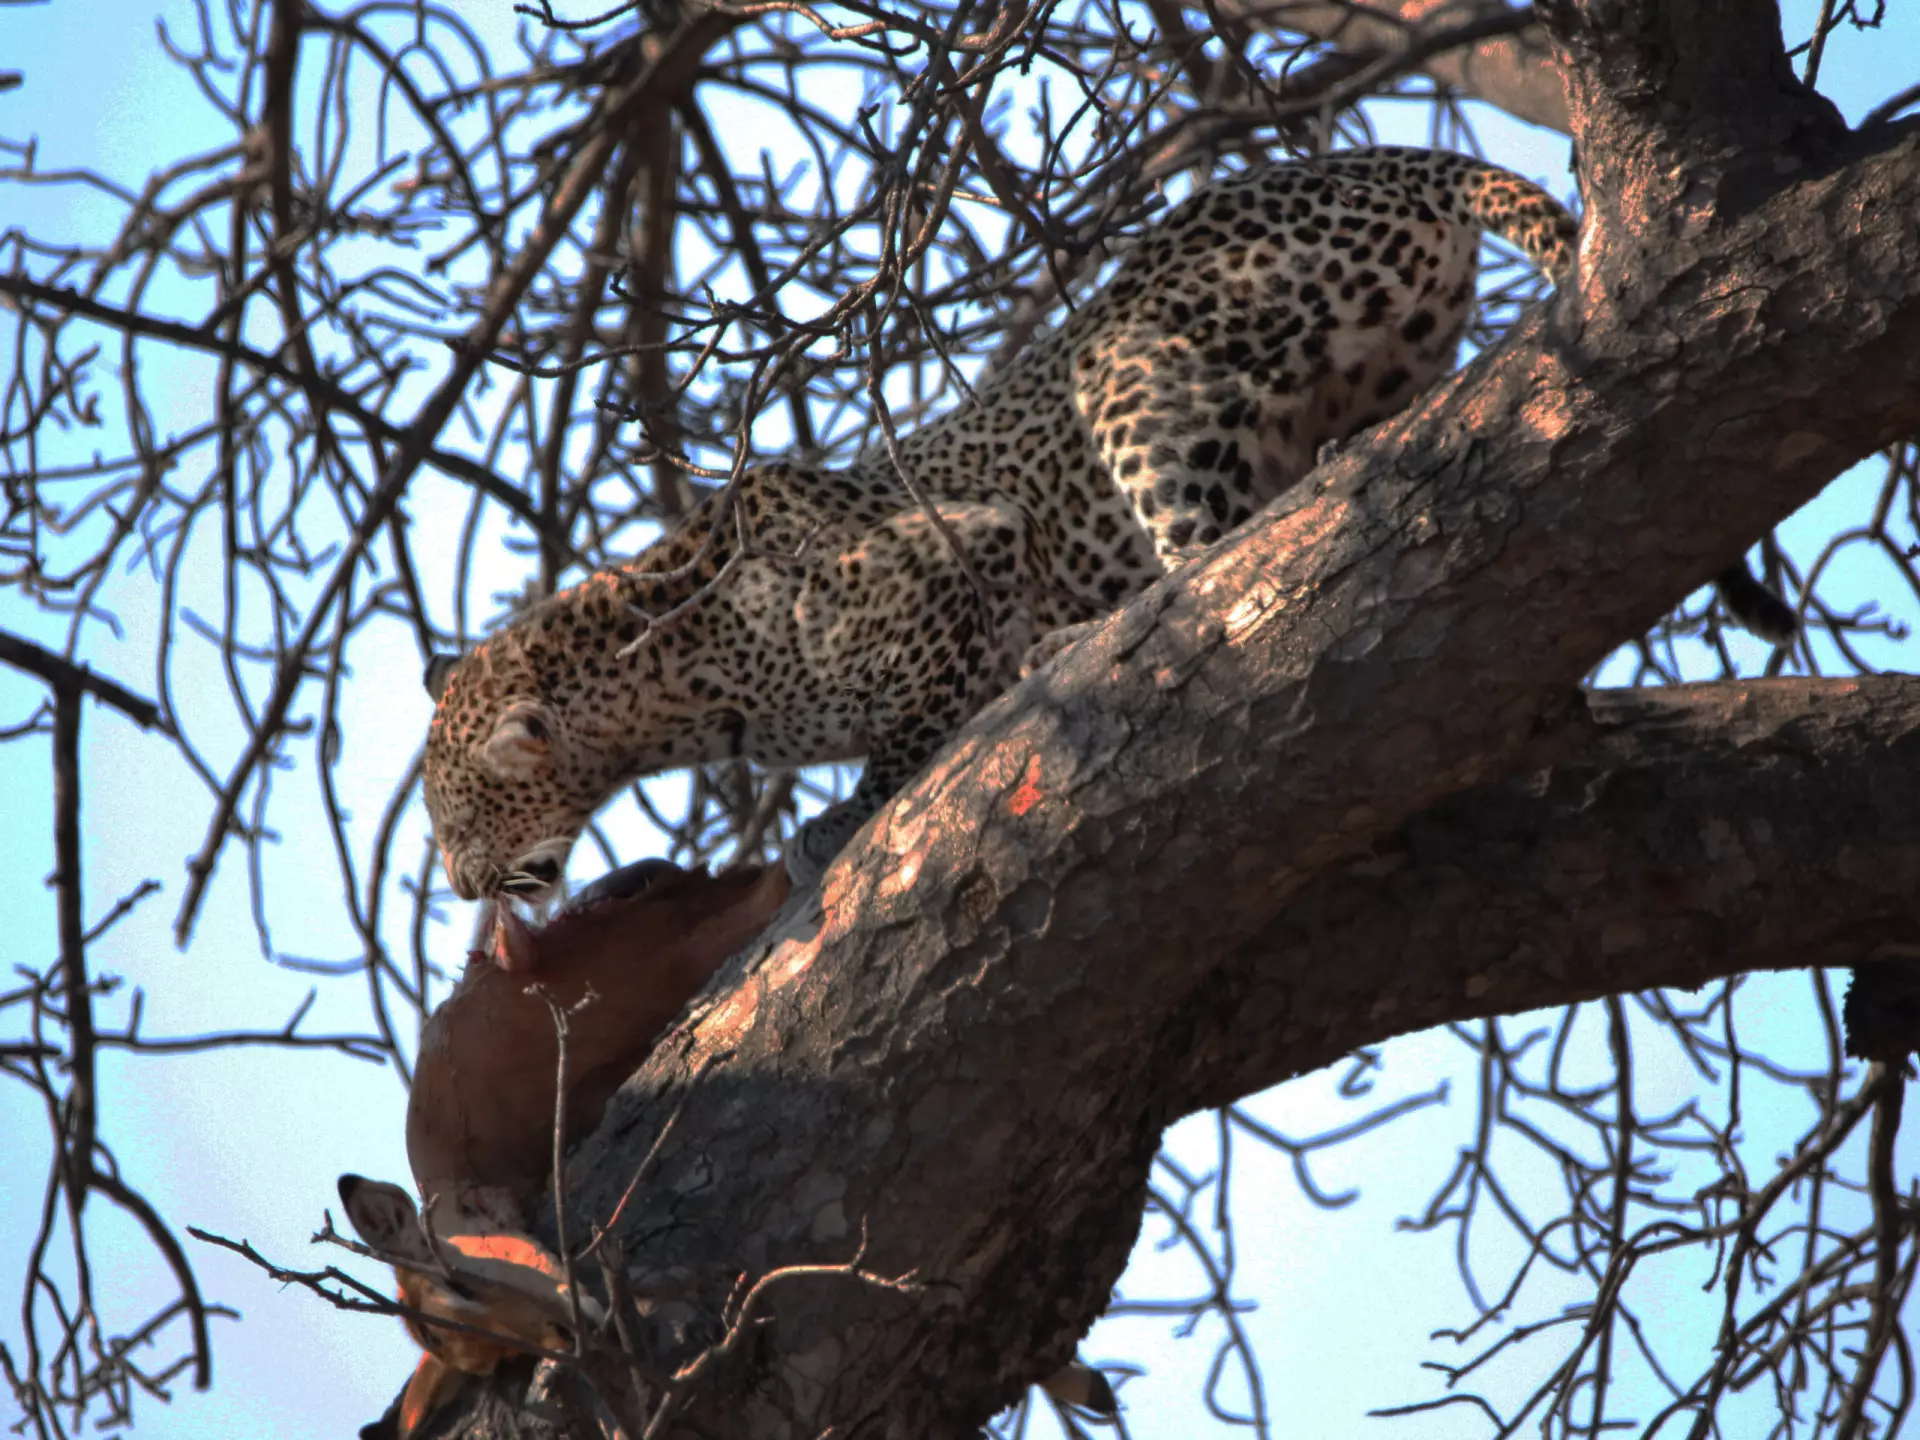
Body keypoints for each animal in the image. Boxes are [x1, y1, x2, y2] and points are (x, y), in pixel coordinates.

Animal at [419, 146, 1792, 903]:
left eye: (454, 818)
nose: (467, 888)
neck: (678, 690)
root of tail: (1382, 154)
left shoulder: (952, 562)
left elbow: (910, 729)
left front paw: (838, 820)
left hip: (1126, 361)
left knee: (1219, 566)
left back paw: (1088, 633)